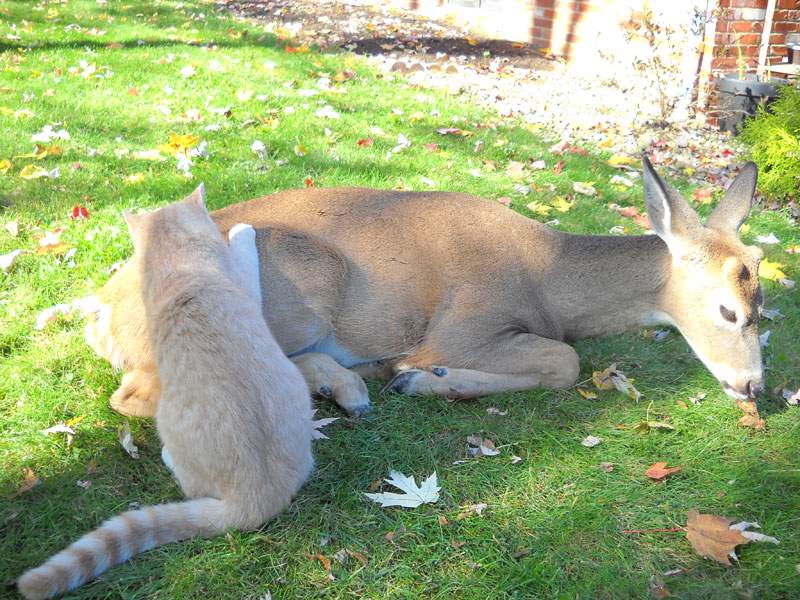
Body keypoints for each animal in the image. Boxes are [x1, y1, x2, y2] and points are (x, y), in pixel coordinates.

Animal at [84, 157, 764, 418]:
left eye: (763, 303)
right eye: (728, 311)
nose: (755, 385)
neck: (548, 276)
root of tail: (102, 315)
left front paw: (411, 377)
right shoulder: (465, 322)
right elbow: (565, 360)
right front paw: (423, 377)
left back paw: (347, 385)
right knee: (142, 392)